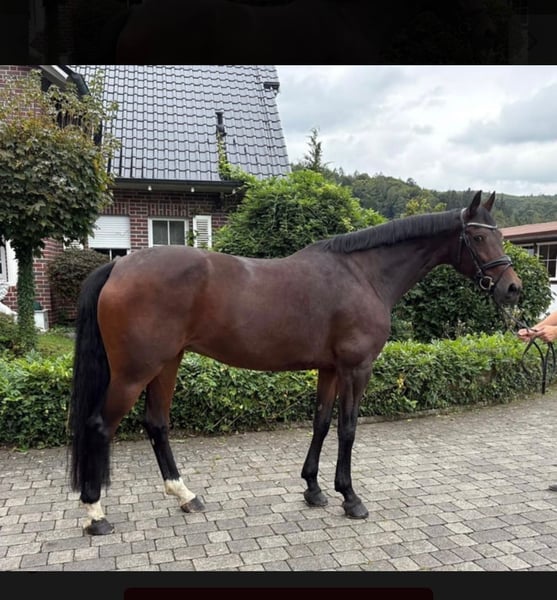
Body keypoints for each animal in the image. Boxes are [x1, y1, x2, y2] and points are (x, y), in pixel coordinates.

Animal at [69, 191, 521, 535]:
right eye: (477, 237)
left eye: (499, 235)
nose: (513, 288)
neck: (363, 274)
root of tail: (118, 263)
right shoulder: (356, 368)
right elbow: (347, 428)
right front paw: (350, 497)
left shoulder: (330, 369)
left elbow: (321, 422)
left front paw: (313, 489)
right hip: (134, 372)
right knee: (100, 426)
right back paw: (95, 513)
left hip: (166, 364)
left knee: (157, 424)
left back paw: (186, 496)